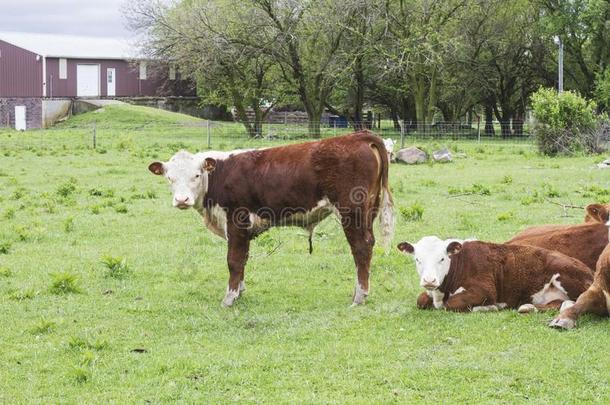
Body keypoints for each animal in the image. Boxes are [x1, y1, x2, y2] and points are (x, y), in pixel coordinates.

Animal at [148, 131, 394, 304]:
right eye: (169, 178)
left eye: (197, 175)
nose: (182, 200)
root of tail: (357, 136)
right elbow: (243, 258)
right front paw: (240, 292)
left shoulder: (237, 220)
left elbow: (234, 260)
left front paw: (229, 298)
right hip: (368, 211)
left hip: (352, 211)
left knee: (361, 247)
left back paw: (359, 297)